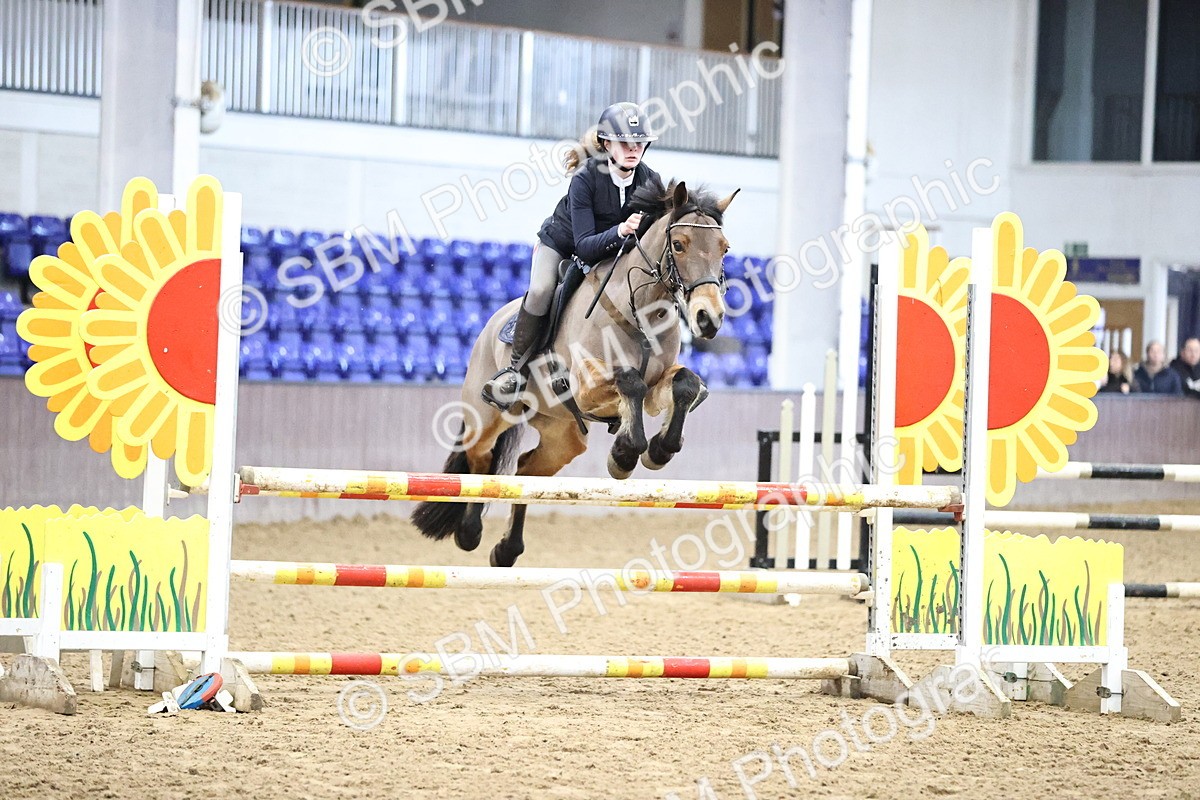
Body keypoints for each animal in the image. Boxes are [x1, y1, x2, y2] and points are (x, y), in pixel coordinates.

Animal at [412, 180, 738, 567]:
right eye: (679, 245)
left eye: (724, 247)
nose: (709, 318)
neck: (641, 312)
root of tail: (490, 325)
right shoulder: (586, 388)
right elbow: (630, 382)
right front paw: (624, 456)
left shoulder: (656, 386)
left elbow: (685, 384)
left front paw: (658, 450)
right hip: (486, 417)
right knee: (482, 461)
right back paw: (469, 532)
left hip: (563, 436)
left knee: (526, 472)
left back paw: (506, 550)